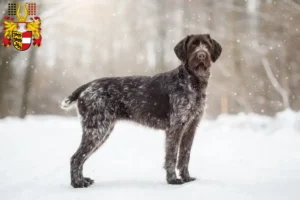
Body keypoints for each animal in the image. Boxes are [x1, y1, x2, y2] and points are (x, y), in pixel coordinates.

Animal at [61, 33, 221, 188]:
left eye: (207, 45)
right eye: (193, 45)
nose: (202, 55)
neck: (193, 82)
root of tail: (87, 86)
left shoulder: (190, 127)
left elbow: (185, 156)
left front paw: (186, 178)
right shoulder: (175, 127)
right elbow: (172, 156)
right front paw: (172, 180)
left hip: (101, 130)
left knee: (81, 158)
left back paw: (83, 180)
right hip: (96, 130)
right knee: (76, 158)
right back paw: (77, 183)